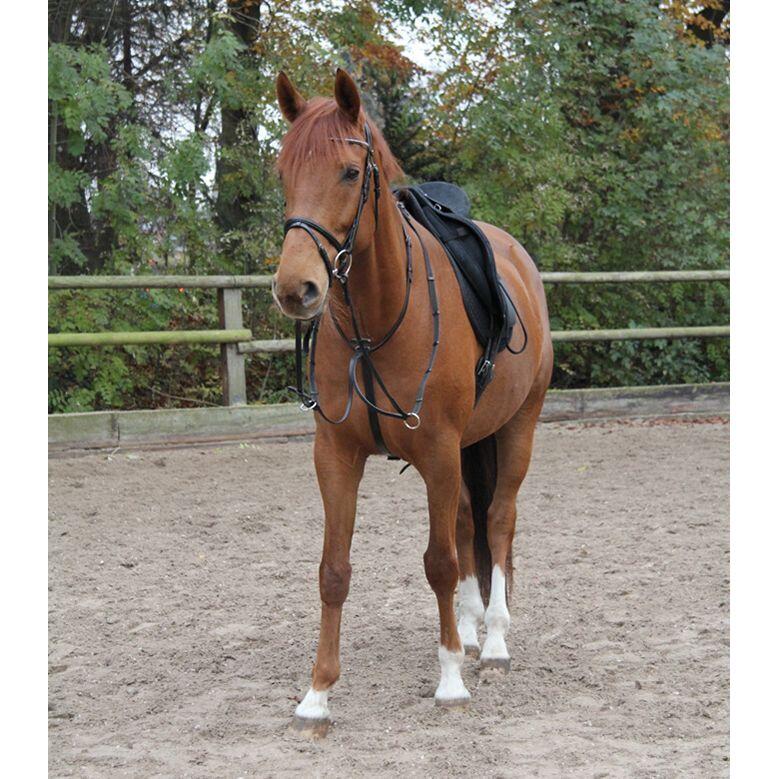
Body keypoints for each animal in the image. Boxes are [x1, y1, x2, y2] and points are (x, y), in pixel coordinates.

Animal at [272, 68, 553, 735]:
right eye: (283, 173)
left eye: (349, 173)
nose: (297, 289)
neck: (375, 321)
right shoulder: (337, 456)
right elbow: (334, 571)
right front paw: (317, 695)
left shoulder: (439, 453)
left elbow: (441, 564)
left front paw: (449, 680)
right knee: (469, 521)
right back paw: (473, 631)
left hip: (517, 430)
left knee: (497, 521)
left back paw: (492, 642)